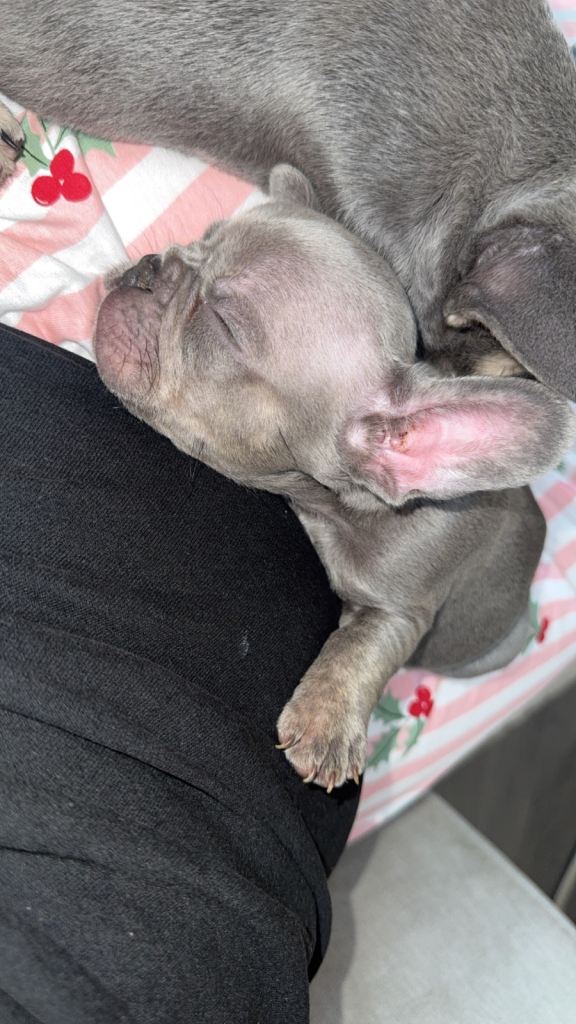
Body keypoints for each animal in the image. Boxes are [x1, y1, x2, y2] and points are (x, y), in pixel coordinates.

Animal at [92, 165, 574, 788]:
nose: (150, 265)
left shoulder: (406, 605)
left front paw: (328, 718)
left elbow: (362, 643)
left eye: (223, 325)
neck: (339, 510)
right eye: (201, 236)